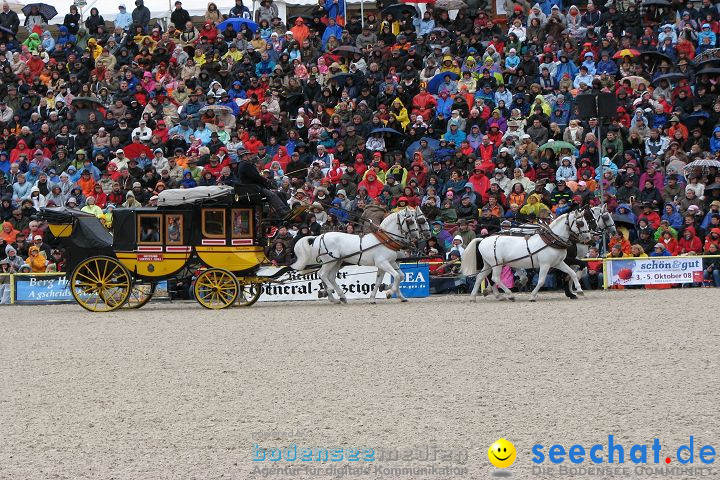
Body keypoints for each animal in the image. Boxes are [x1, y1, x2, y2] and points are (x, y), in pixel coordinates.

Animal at [292, 207, 430, 304]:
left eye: (417, 220)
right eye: (411, 221)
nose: (419, 236)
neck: (386, 239)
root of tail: (318, 237)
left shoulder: (390, 262)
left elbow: (392, 278)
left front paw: (376, 297)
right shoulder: (383, 263)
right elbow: (396, 276)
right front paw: (389, 292)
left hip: (337, 262)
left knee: (329, 277)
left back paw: (339, 298)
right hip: (329, 261)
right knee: (322, 274)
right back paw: (329, 292)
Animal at [462, 209, 592, 302]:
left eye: (586, 221)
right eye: (580, 223)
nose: (588, 238)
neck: (551, 241)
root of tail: (483, 239)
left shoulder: (559, 263)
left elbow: (572, 273)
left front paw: (579, 290)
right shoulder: (545, 264)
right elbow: (541, 280)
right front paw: (532, 296)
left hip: (488, 263)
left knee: (480, 277)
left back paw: (473, 297)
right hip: (496, 264)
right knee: (495, 278)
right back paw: (509, 295)